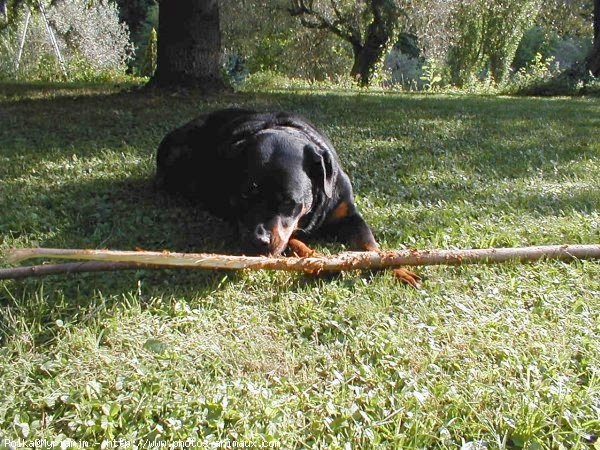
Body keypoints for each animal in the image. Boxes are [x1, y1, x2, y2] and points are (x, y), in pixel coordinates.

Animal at [156, 108, 418, 284]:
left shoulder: (349, 213)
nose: (258, 240)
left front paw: (396, 267)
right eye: (244, 196)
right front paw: (319, 261)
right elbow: (293, 240)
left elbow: (370, 246)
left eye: (288, 202)